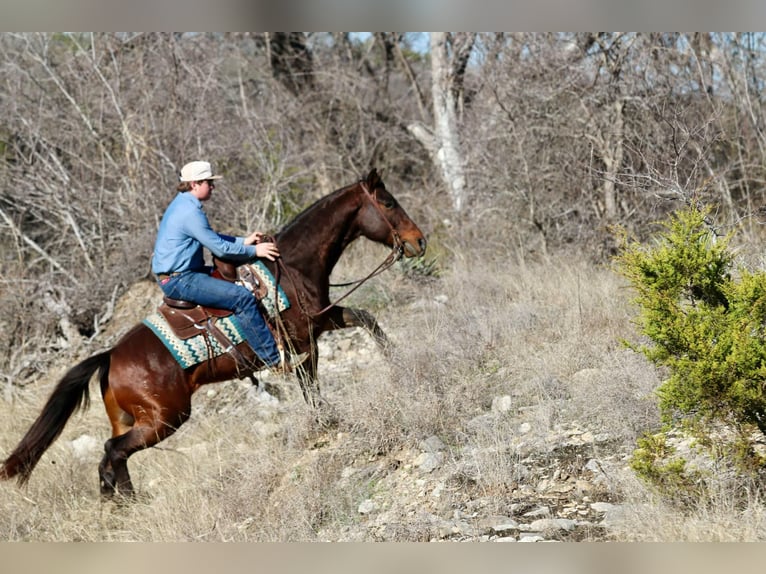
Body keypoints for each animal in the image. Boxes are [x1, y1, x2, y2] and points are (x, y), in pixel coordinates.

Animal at [0, 168, 427, 497]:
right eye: (388, 202)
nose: (419, 241)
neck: (292, 266)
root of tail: (111, 356)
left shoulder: (323, 319)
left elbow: (366, 319)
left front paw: (396, 363)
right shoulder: (304, 340)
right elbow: (311, 382)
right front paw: (327, 421)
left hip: (131, 419)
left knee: (109, 456)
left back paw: (114, 499)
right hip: (165, 419)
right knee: (113, 450)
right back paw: (126, 500)